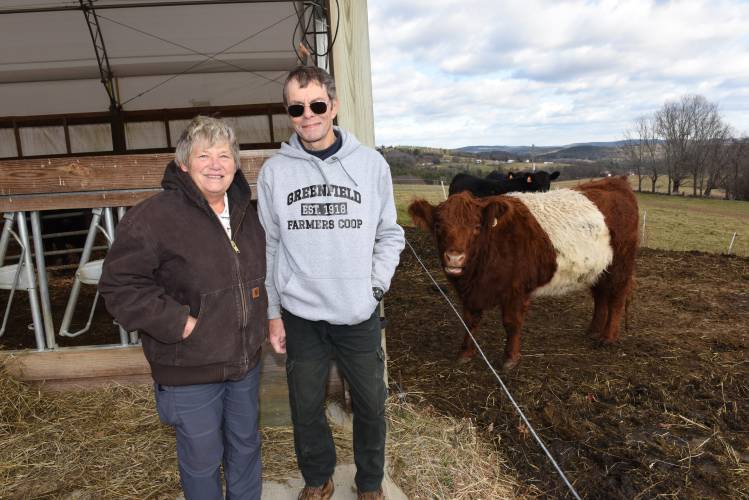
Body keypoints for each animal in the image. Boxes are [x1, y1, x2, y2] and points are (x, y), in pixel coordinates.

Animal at [410, 178, 636, 370]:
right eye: (438, 226)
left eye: (476, 227)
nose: (454, 258)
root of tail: (614, 181)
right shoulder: (471, 293)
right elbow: (469, 321)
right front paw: (465, 353)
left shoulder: (516, 290)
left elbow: (511, 323)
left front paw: (510, 358)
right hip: (598, 269)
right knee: (600, 297)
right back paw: (592, 331)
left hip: (620, 266)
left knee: (616, 299)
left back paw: (607, 338)